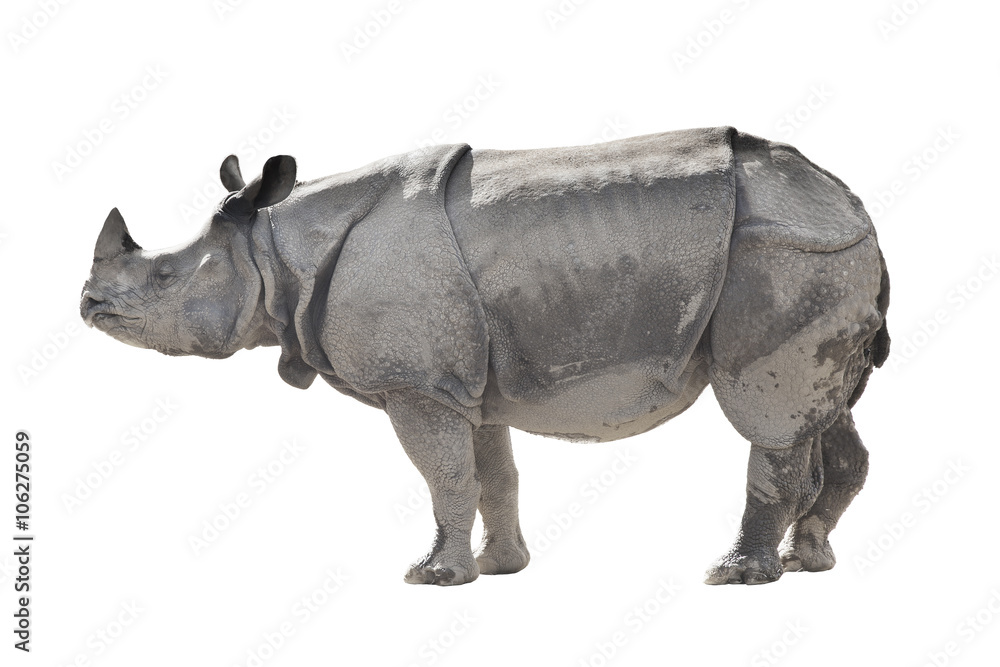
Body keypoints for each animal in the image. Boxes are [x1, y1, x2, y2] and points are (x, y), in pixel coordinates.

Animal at [80, 126, 889, 586]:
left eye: (164, 277)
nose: (87, 306)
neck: (277, 248)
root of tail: (850, 202)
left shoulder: (414, 384)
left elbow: (444, 475)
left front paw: (433, 578)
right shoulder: (465, 380)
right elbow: (491, 473)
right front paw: (502, 569)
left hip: (782, 250)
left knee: (766, 412)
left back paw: (737, 576)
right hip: (816, 250)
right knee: (828, 410)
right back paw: (808, 562)